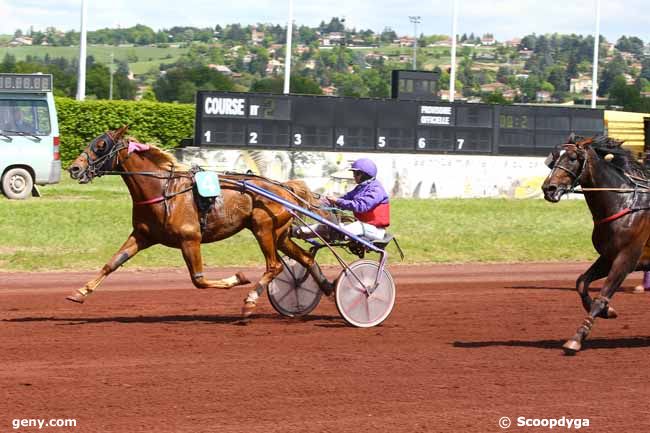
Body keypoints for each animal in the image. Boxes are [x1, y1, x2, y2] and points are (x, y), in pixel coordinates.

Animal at [66, 125, 334, 318]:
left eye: (101, 145)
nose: (74, 168)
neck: (164, 190)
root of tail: (286, 188)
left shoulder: (190, 238)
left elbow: (200, 280)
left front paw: (238, 278)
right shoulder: (142, 235)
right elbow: (112, 263)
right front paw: (80, 292)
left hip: (264, 228)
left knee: (275, 266)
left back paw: (249, 302)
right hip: (280, 234)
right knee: (306, 258)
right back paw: (327, 288)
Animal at [540, 134, 648, 352]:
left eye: (573, 158)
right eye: (554, 158)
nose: (549, 189)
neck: (625, 203)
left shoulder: (626, 258)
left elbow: (601, 297)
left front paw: (577, 338)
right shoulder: (607, 257)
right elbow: (582, 282)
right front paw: (609, 311)